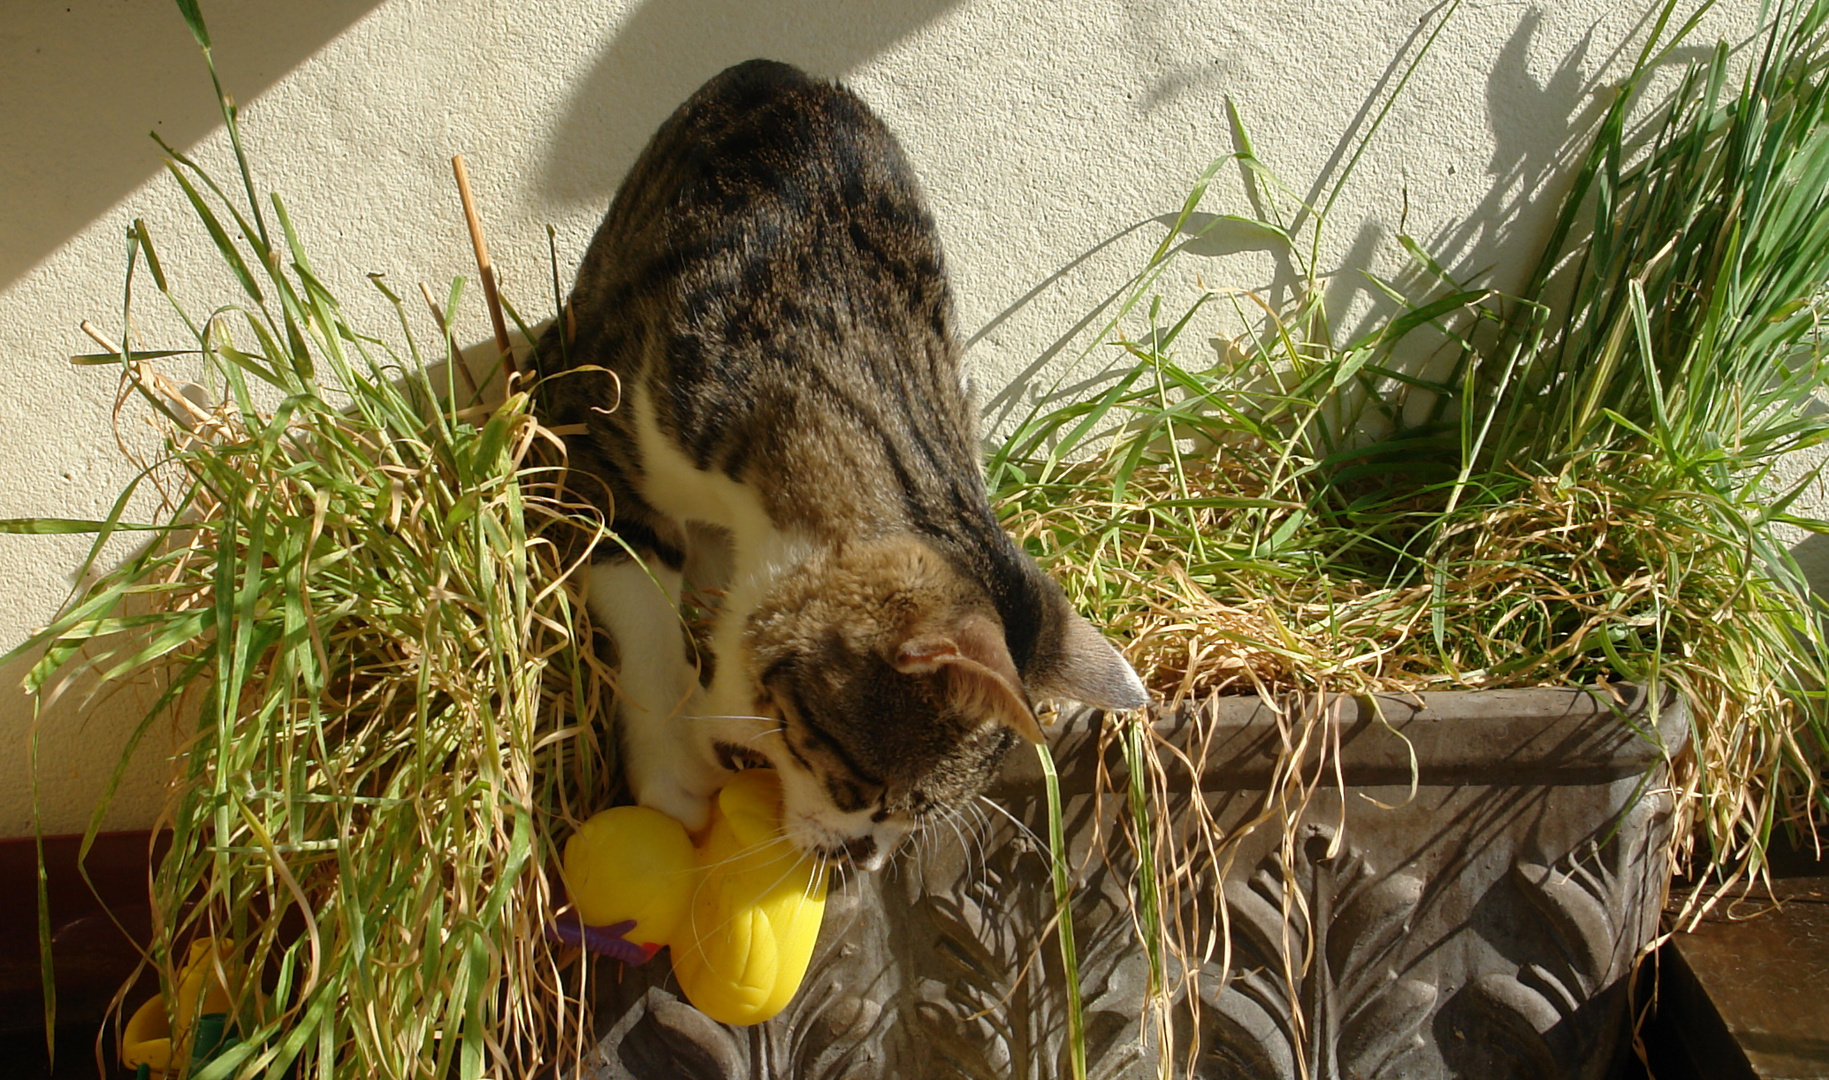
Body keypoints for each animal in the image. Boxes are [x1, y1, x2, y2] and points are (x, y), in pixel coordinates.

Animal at [537, 57, 1141, 871]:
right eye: (871, 793)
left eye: (910, 818)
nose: (868, 860)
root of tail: (779, 68)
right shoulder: (602, 424)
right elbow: (637, 597)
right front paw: (673, 765)